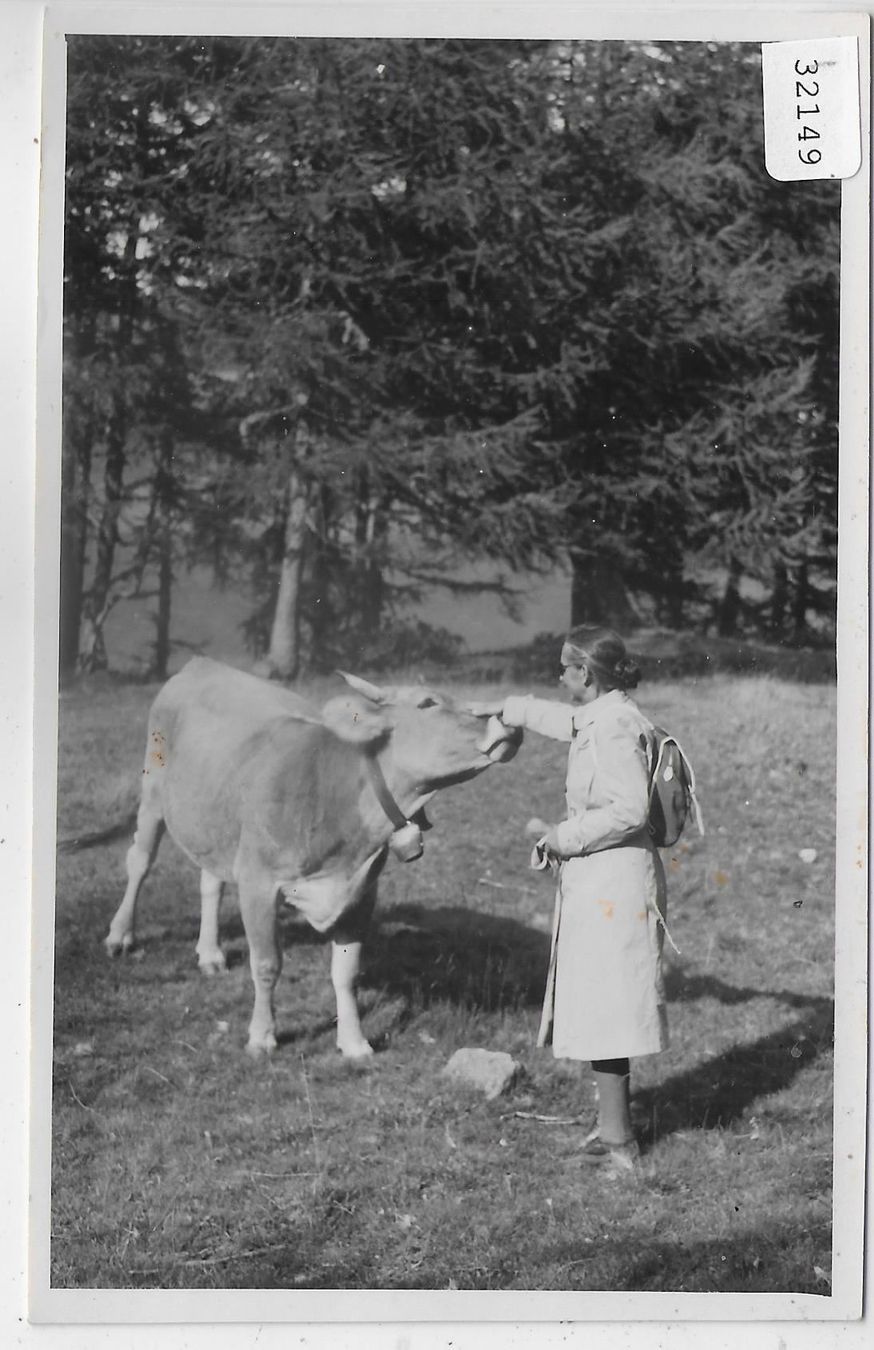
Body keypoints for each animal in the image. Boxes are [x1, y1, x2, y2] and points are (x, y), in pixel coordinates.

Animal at [104, 657, 521, 1059]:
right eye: (427, 703)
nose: (507, 720)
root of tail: (202, 663)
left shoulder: (361, 893)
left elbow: (346, 973)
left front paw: (354, 1042)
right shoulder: (258, 882)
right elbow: (267, 964)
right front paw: (262, 1036)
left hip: (217, 822)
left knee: (211, 879)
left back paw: (209, 953)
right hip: (153, 789)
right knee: (139, 861)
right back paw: (120, 935)